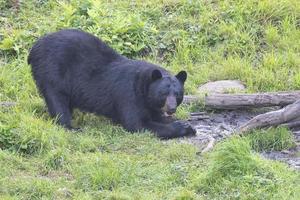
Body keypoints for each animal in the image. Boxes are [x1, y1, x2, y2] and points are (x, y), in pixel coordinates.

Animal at [28, 29, 196, 138]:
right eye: (163, 93)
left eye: (178, 94)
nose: (172, 108)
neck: (143, 86)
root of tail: (34, 47)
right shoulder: (129, 95)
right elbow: (137, 124)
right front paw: (183, 127)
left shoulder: (149, 102)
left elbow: (154, 115)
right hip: (51, 71)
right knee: (57, 100)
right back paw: (71, 127)